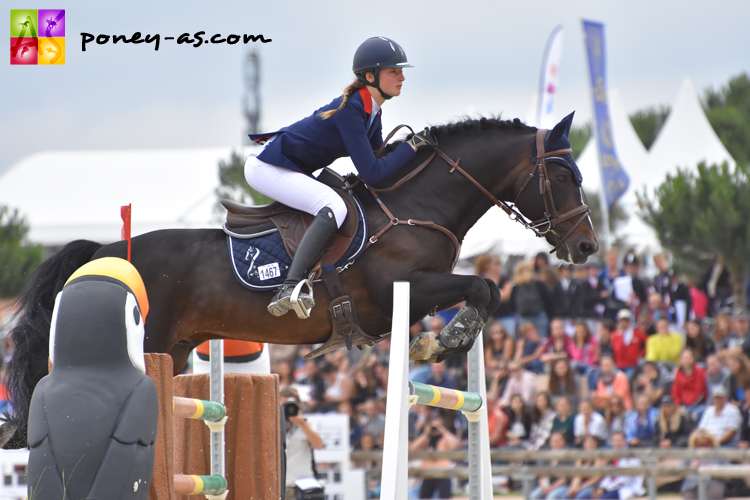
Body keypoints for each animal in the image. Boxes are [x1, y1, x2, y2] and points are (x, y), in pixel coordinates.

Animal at [1, 114, 600, 450]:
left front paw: (440, 340)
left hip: (175, 346)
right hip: (149, 342)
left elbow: (488, 290)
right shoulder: (402, 290)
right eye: (563, 174)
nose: (587, 248)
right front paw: (442, 340)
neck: (417, 206)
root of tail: (102, 252)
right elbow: (481, 287)